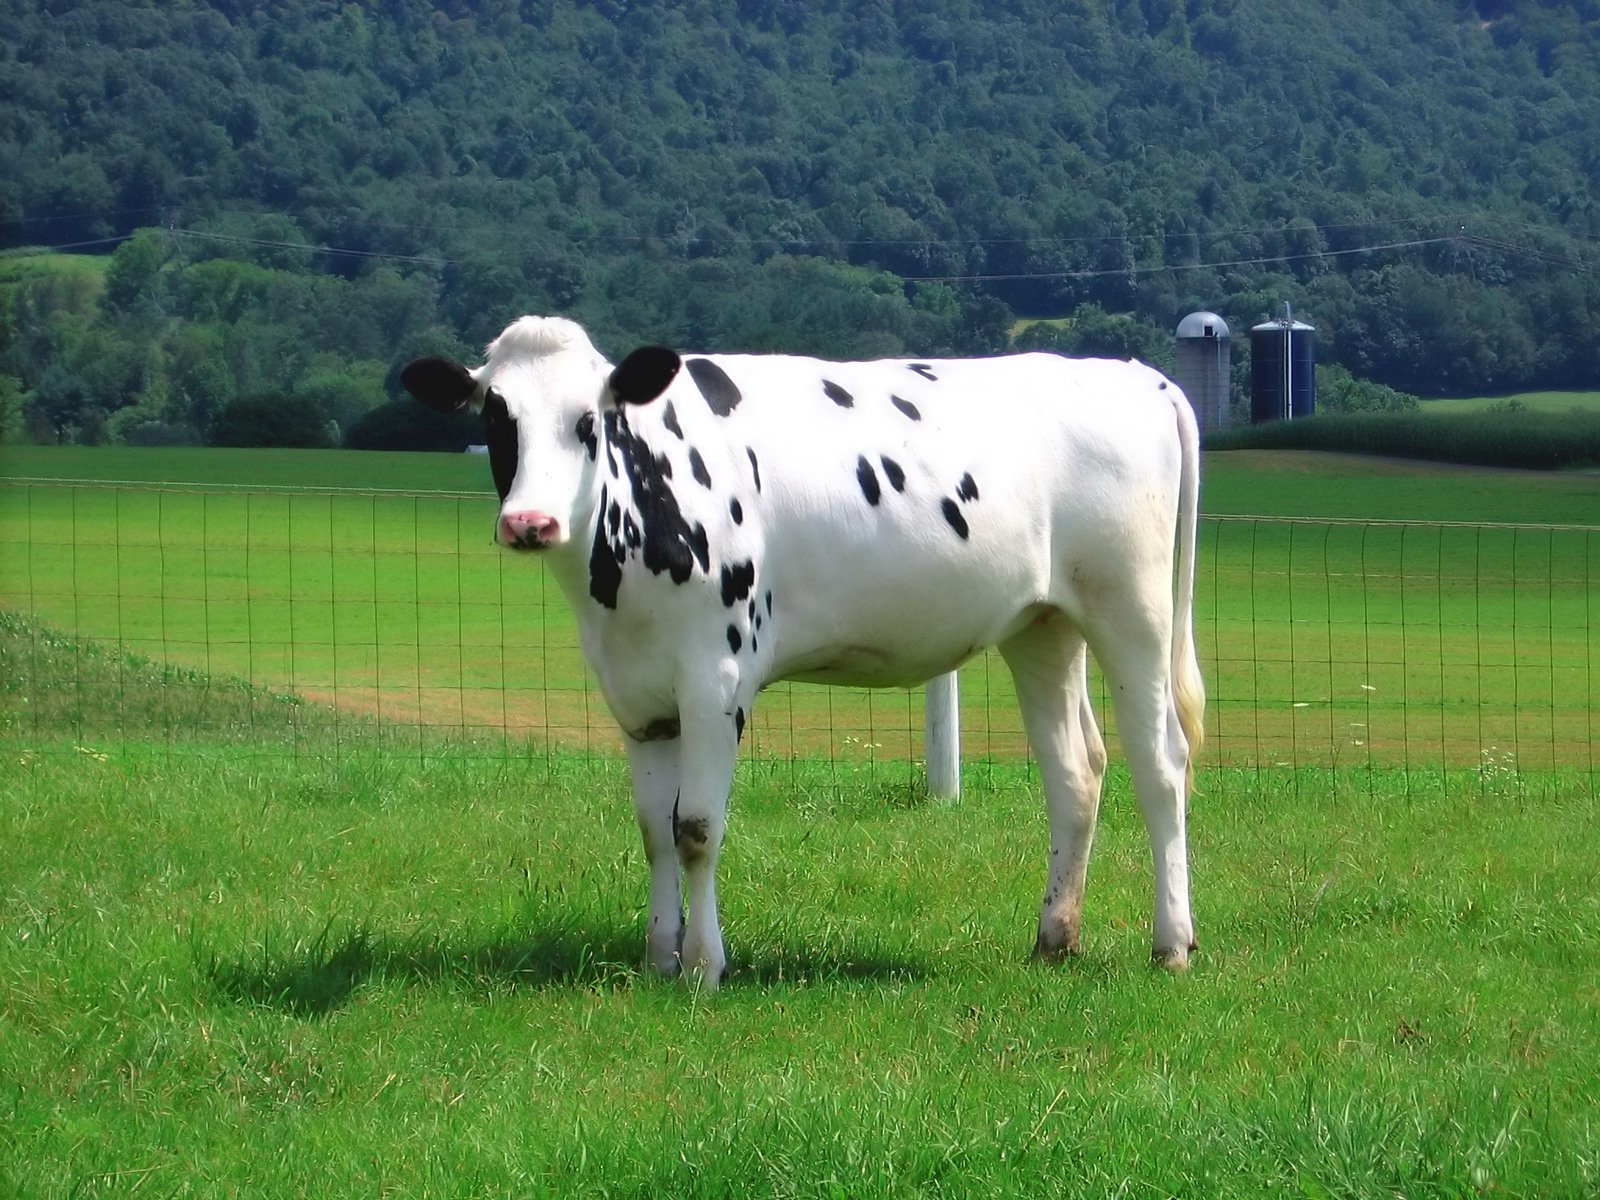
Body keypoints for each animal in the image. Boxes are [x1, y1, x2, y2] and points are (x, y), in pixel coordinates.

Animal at [406, 315, 1203, 992]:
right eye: (495, 415)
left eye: (589, 420)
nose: (529, 522)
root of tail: (1135, 376)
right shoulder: (637, 697)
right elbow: (654, 832)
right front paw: (659, 957)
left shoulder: (716, 682)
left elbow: (696, 829)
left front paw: (703, 967)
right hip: (1043, 624)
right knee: (1076, 770)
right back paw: (1054, 939)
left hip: (1132, 608)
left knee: (1161, 765)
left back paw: (1171, 944)